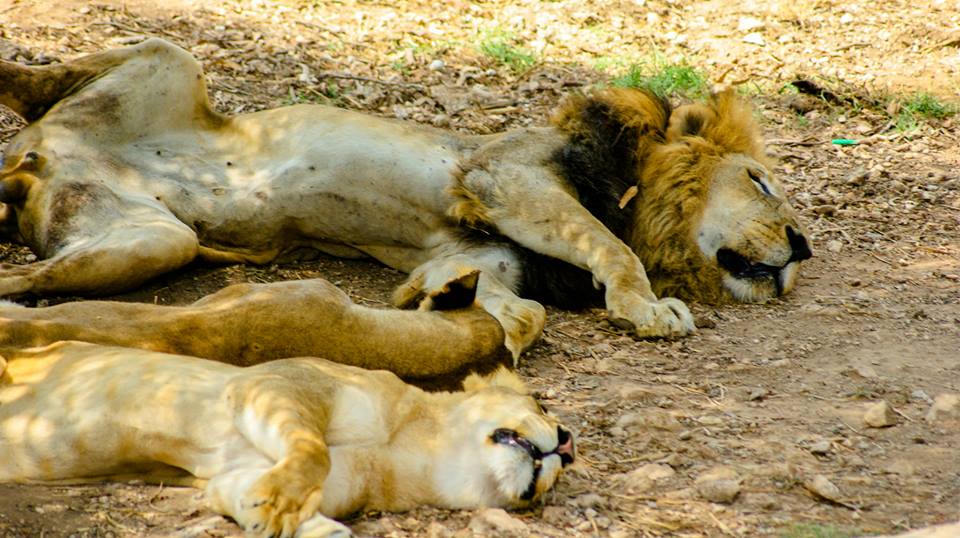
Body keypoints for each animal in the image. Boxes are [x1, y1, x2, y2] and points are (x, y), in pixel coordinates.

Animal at [0, 38, 808, 356]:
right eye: (761, 181)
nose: (802, 247)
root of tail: (33, 161)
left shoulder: (478, 250)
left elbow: (521, 307)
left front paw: (443, 309)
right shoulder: (504, 177)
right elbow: (612, 248)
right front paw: (650, 309)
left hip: (147, 237)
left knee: (28, 273)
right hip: (171, 64)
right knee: (28, 81)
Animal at [0, 342, 572, 532]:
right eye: (542, 404)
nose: (567, 443)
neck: (416, 455)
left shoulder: (228, 477)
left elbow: (236, 496)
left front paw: (294, 521)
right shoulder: (277, 381)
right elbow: (313, 451)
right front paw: (277, 501)